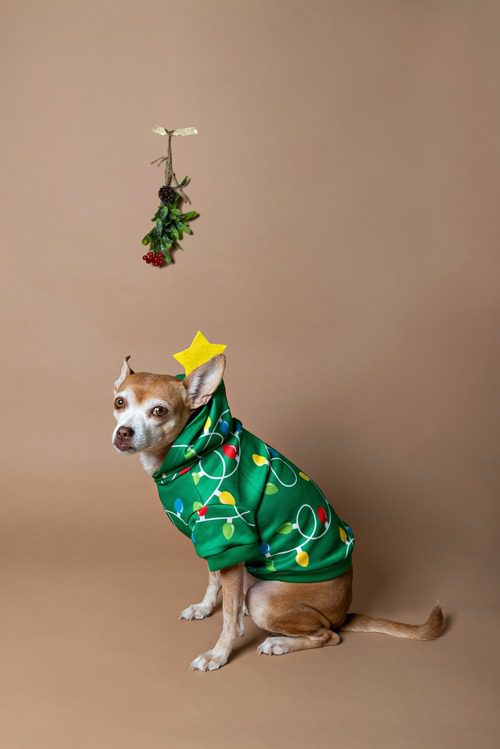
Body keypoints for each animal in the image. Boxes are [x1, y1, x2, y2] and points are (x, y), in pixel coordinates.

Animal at [111, 354, 444, 668]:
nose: (123, 432)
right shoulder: (214, 541)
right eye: (120, 402)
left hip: (265, 599)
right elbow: (213, 580)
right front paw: (204, 608)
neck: (191, 451)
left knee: (329, 634)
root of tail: (345, 610)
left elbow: (228, 616)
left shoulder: (226, 532)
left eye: (159, 411)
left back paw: (280, 643)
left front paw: (218, 654)